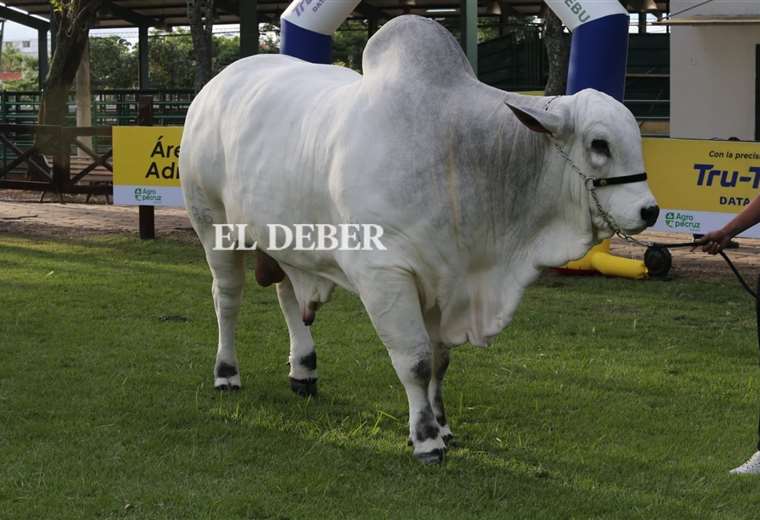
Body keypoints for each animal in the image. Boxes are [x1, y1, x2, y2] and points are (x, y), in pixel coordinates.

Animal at [181, 15, 656, 464]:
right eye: (599, 143)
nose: (649, 210)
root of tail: (215, 86)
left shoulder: (446, 283)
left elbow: (440, 362)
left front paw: (443, 426)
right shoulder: (385, 274)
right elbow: (415, 361)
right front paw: (426, 439)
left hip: (286, 241)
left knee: (287, 296)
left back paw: (303, 371)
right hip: (212, 226)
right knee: (227, 298)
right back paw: (227, 372)